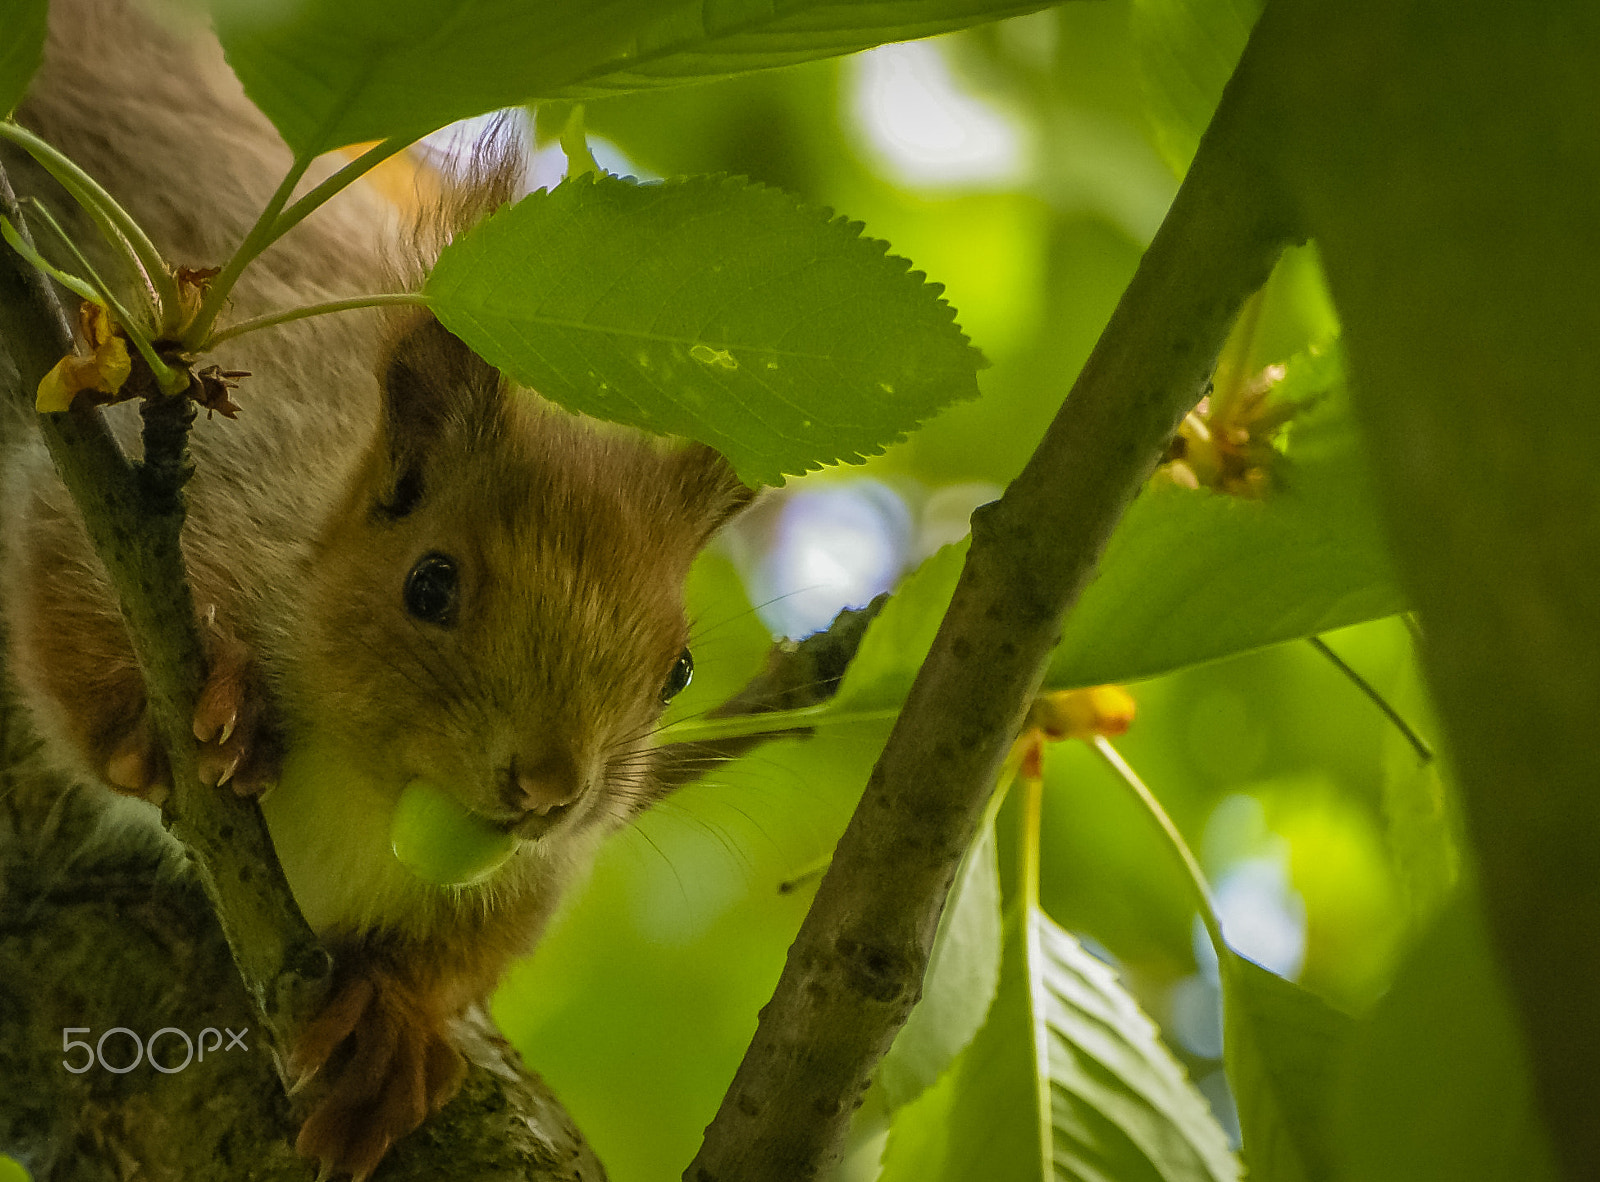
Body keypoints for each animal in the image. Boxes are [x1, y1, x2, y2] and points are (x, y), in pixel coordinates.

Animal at [1, 0, 748, 1177]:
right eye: (429, 586)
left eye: (676, 670)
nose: (551, 787)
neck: (368, 792)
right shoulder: (144, 487)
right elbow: (65, 585)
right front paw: (192, 711)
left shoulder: (531, 874)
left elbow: (470, 947)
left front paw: (392, 1021)